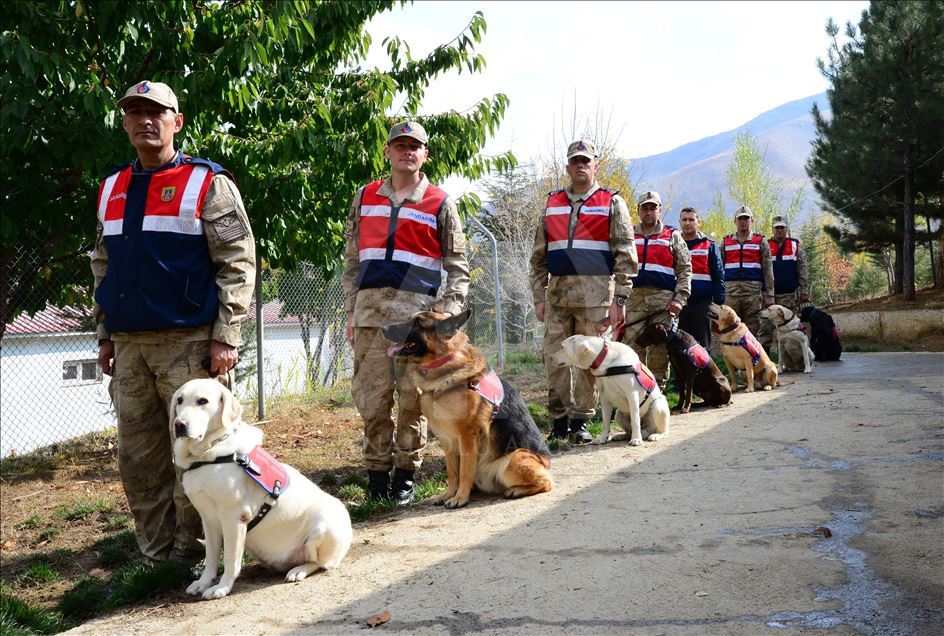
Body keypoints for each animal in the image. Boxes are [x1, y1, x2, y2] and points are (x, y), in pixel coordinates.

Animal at [171, 380, 352, 600]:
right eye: (179, 400)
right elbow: (211, 557)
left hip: (324, 527)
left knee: (320, 563)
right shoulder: (208, 519)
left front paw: (221, 588)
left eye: (202, 401)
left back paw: (298, 571)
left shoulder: (234, 518)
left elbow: (230, 561)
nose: (179, 424)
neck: (208, 455)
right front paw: (203, 583)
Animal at [380, 310, 548, 510]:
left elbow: (465, 471)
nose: (382, 328)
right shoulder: (447, 440)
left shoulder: (467, 437)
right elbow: (453, 473)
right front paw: (448, 495)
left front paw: (459, 498)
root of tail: (547, 463)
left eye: (417, 323)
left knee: (547, 482)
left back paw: (516, 490)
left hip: (513, 459)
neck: (443, 365)